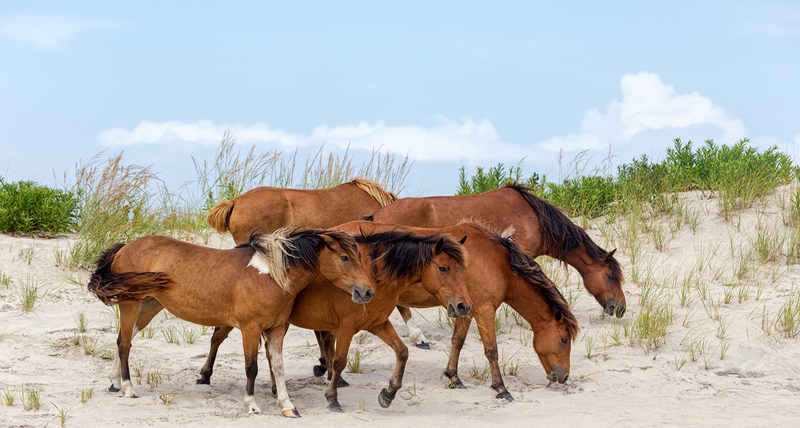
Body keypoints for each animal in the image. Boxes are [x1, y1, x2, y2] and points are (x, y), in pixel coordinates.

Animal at [86, 229, 374, 416]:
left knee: (124, 340)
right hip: (131, 304)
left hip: (150, 305)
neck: (270, 276)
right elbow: (251, 368)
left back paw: (114, 383)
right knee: (124, 344)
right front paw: (252, 405)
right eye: (345, 258)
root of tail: (125, 247)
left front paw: (287, 406)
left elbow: (278, 368)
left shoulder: (277, 330)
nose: (367, 292)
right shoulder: (250, 329)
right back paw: (127, 388)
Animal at [199, 224, 472, 412]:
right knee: (217, 337)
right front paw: (333, 399)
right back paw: (205, 375)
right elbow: (340, 361)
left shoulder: (378, 324)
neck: (375, 276)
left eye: (463, 269)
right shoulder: (347, 327)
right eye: (443, 268)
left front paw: (388, 393)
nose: (463, 305)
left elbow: (403, 352)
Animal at [310, 221, 576, 402]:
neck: (498, 262)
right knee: (327, 335)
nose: (564, 377)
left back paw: (328, 370)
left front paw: (454, 377)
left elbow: (457, 341)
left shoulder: (465, 309)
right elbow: (491, 350)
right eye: (564, 339)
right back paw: (334, 375)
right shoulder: (484, 310)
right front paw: (501, 388)